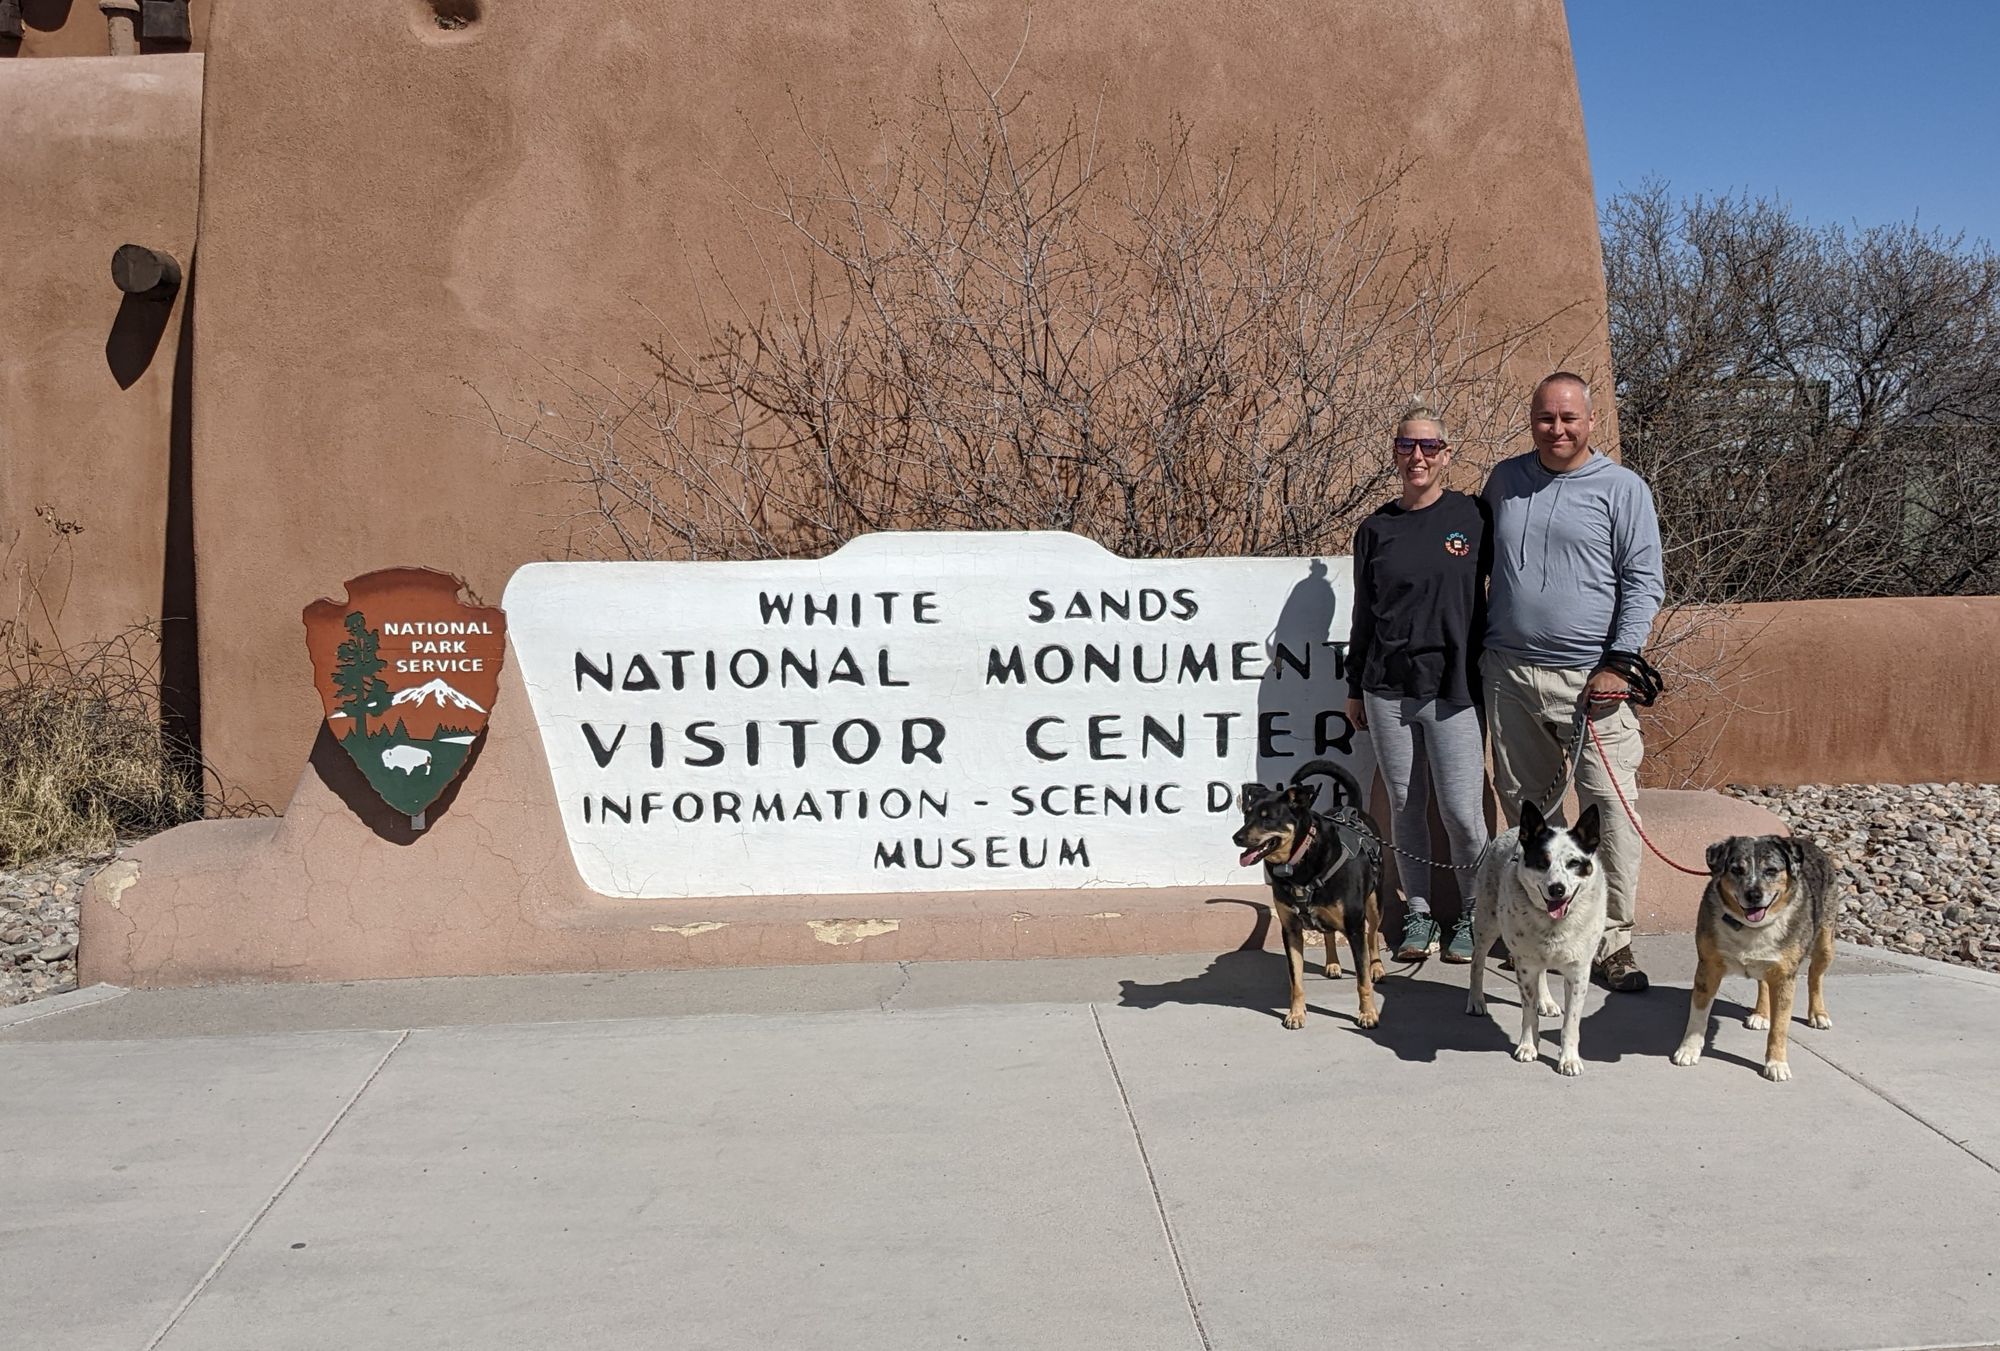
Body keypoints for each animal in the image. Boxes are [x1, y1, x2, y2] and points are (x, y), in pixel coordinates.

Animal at [1224, 763, 1384, 1031]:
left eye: (1268, 818)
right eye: (1247, 815)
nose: (1237, 837)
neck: (1298, 860)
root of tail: (1350, 809)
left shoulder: (1353, 926)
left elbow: (1362, 980)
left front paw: (1368, 1013)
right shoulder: (1290, 929)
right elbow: (1296, 980)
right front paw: (1296, 1014)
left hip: (1374, 903)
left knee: (1372, 935)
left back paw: (1377, 968)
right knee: (1328, 933)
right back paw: (1332, 964)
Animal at [1472, 803, 1608, 1079]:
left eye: (1574, 863)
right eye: (1542, 863)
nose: (1557, 889)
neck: (1553, 926)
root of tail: (1513, 829)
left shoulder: (1578, 972)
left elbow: (1571, 1023)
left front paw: (1569, 1059)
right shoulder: (1524, 967)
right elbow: (1528, 1012)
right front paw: (1528, 1045)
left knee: (1543, 972)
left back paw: (1545, 1001)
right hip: (1487, 923)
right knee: (1477, 963)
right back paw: (1476, 1000)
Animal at [1672, 827, 1840, 1079]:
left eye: (1771, 870)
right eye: (1736, 870)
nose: (1754, 894)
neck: (1750, 927)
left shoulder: (1784, 977)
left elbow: (1780, 1027)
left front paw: (1776, 1064)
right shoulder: (1708, 967)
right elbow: (1698, 1014)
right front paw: (1688, 1050)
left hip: (1825, 944)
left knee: (1815, 977)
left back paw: (1818, 1014)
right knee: (1763, 982)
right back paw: (1761, 1014)